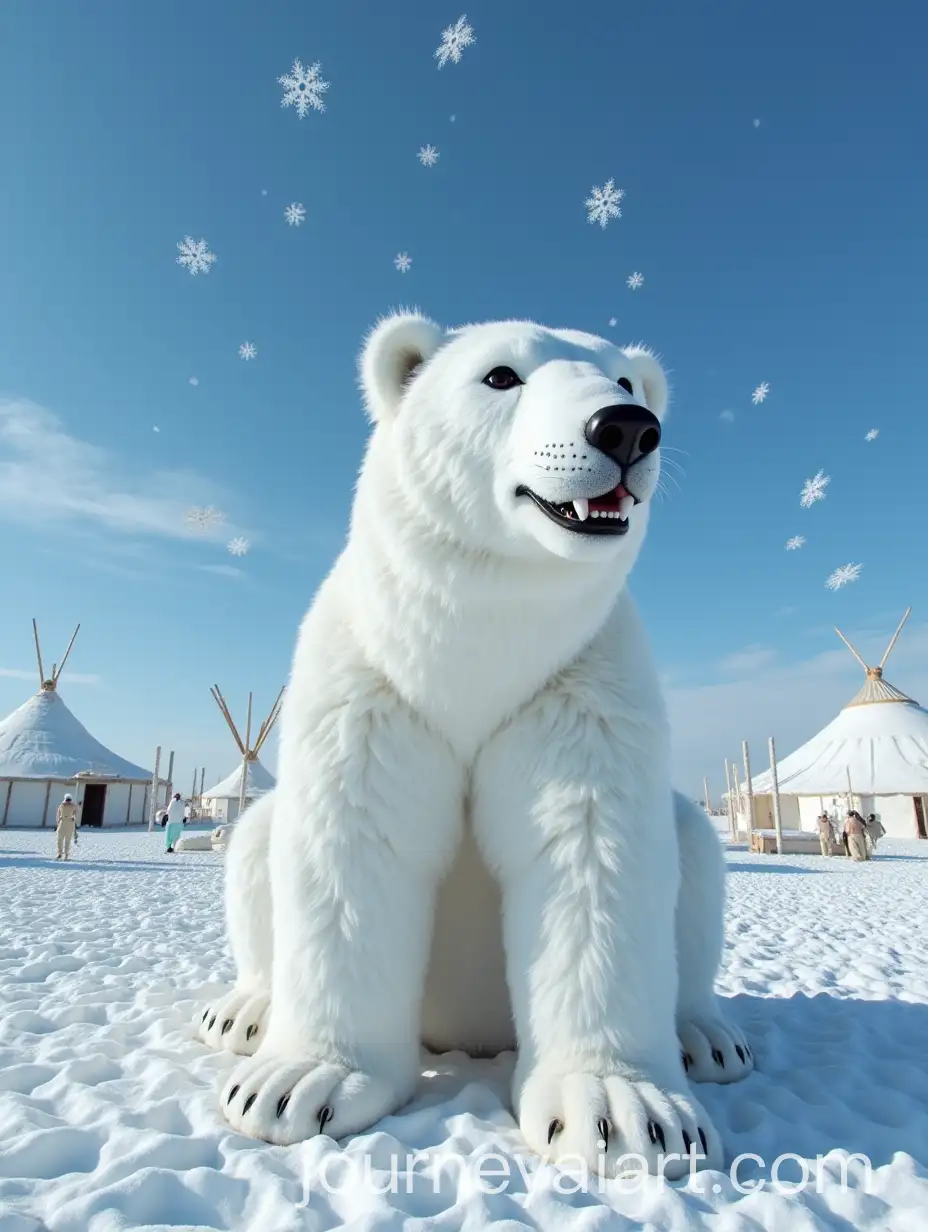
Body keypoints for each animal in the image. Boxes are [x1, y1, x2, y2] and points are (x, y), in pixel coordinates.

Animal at [197, 314, 753, 1178]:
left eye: (626, 381)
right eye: (499, 376)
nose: (626, 427)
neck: (475, 650)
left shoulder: (581, 684)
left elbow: (590, 850)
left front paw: (627, 1114)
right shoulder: (372, 683)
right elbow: (354, 841)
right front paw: (299, 1085)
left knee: (692, 848)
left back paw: (705, 1035)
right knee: (258, 837)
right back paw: (245, 1013)